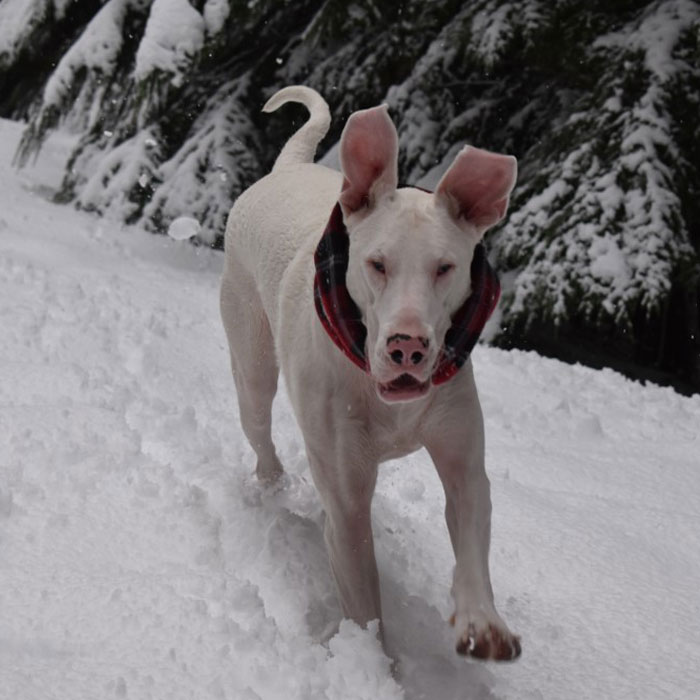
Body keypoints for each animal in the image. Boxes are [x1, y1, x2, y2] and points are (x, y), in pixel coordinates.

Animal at [221, 85, 524, 660]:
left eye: (445, 267)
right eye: (377, 264)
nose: (408, 346)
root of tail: (287, 168)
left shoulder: (462, 456)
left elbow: (471, 524)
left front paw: (482, 622)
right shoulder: (344, 501)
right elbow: (362, 599)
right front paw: (374, 666)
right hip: (250, 364)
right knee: (257, 427)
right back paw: (271, 482)